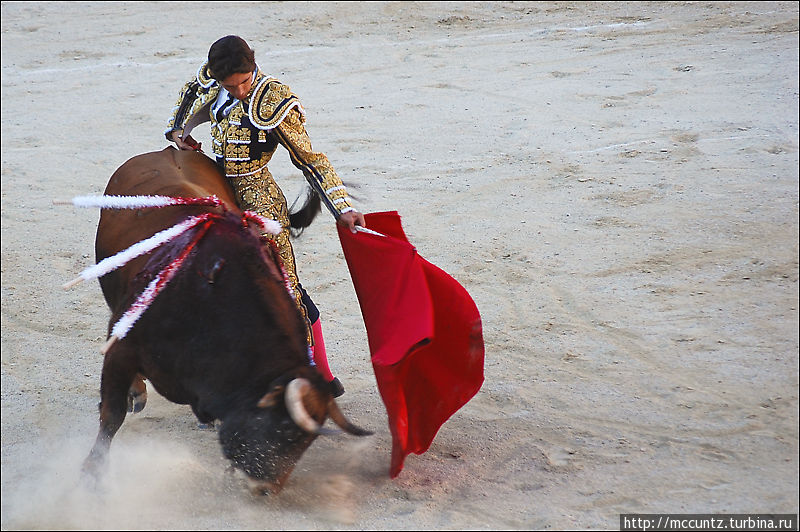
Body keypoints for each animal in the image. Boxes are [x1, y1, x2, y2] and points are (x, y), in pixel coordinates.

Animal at [81, 147, 368, 494]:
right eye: (284, 431)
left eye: (307, 442)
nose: (267, 489)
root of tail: (167, 151)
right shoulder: (125, 346)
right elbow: (112, 413)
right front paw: (92, 474)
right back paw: (136, 392)